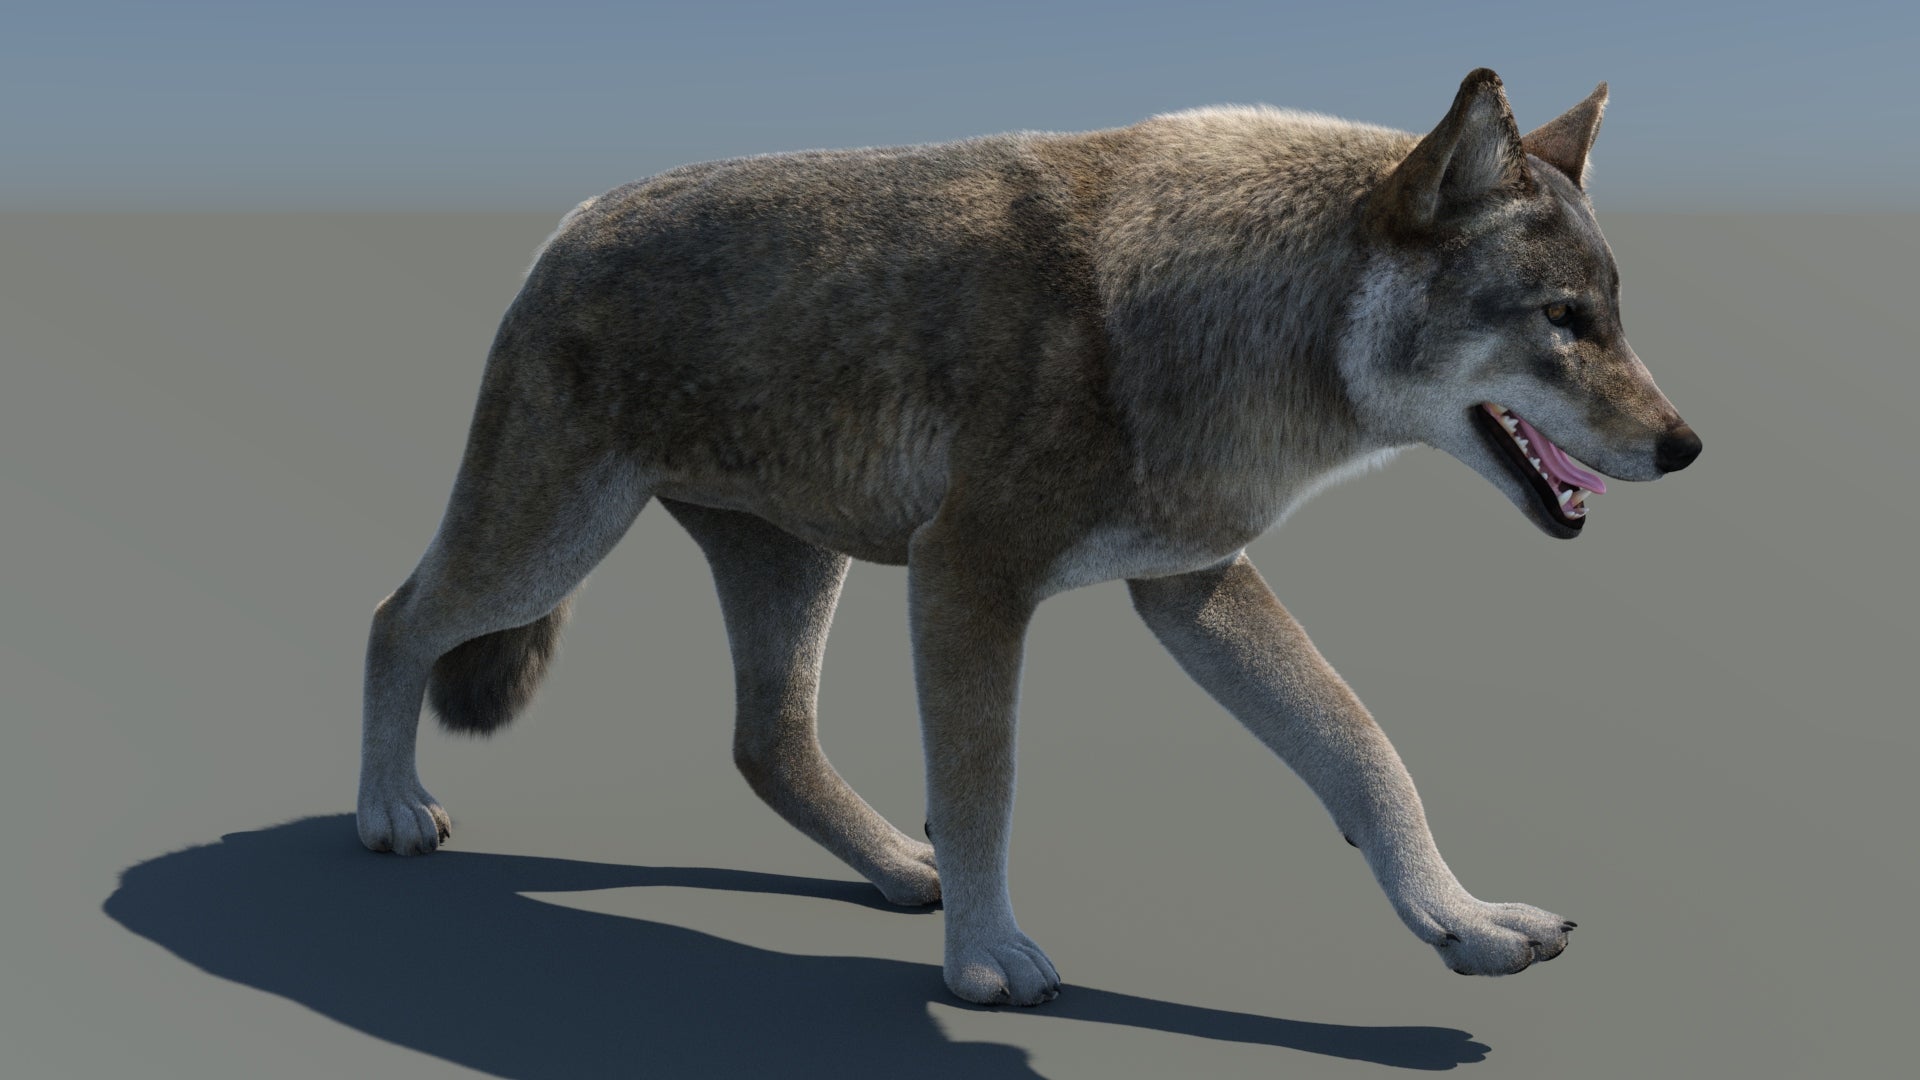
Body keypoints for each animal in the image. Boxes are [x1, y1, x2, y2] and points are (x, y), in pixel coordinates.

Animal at [357, 68, 1701, 1006]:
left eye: (1616, 317)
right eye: (1562, 320)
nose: (1687, 447)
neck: (1237, 315)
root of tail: (572, 219)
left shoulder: (1191, 584)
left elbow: (1363, 752)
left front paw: (1463, 920)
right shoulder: (967, 573)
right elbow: (985, 784)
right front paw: (988, 961)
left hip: (793, 564)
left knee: (765, 741)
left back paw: (898, 869)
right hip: (550, 543)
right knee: (393, 619)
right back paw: (388, 812)